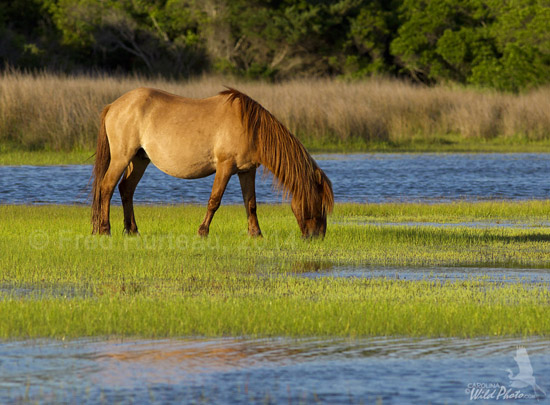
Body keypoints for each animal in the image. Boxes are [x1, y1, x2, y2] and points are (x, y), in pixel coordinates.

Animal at [92, 85, 334, 237]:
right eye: (319, 203)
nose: (317, 236)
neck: (250, 126)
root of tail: (113, 106)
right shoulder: (225, 167)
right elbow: (214, 201)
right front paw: (202, 232)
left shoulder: (247, 171)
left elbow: (251, 203)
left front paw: (256, 234)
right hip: (122, 157)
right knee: (107, 187)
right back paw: (104, 229)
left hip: (140, 159)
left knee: (126, 189)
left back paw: (132, 230)